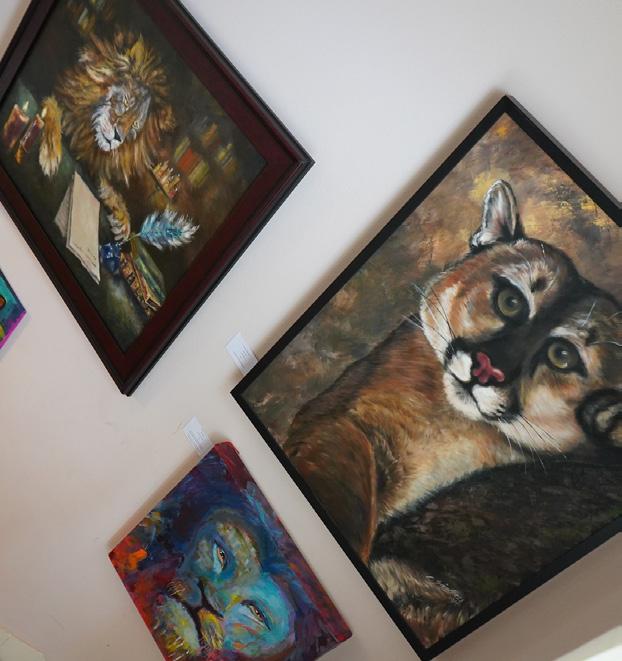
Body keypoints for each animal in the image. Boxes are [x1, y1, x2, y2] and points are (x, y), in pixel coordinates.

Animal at [283, 180, 621, 640]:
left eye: (562, 356)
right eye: (511, 301)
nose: (485, 369)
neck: (448, 431)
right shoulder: (336, 422)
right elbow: (345, 480)